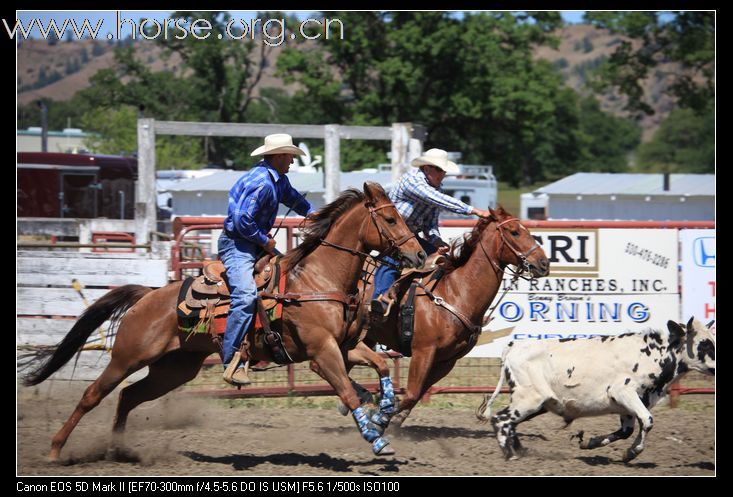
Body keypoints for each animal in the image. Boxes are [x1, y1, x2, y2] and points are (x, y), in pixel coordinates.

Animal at [22, 181, 426, 458]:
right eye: (390, 218)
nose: (420, 255)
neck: (317, 279)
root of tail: (148, 295)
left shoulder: (344, 347)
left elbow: (380, 367)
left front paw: (383, 410)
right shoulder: (322, 351)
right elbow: (346, 390)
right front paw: (376, 439)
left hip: (174, 368)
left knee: (128, 396)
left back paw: (118, 449)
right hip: (129, 356)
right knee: (94, 394)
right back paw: (55, 450)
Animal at [324, 205, 548, 430]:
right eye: (514, 232)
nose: (544, 263)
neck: (455, 292)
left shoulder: (447, 361)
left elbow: (416, 395)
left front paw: (391, 419)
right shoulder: (423, 351)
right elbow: (412, 392)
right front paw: (381, 418)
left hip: (362, 337)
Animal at [474, 318, 716, 462]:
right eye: (705, 344)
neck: (654, 354)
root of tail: (513, 347)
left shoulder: (627, 405)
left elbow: (626, 430)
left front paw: (588, 443)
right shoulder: (624, 392)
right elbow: (647, 421)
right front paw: (631, 453)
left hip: (537, 402)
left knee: (511, 423)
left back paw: (521, 451)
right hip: (529, 398)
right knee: (501, 419)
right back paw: (510, 456)